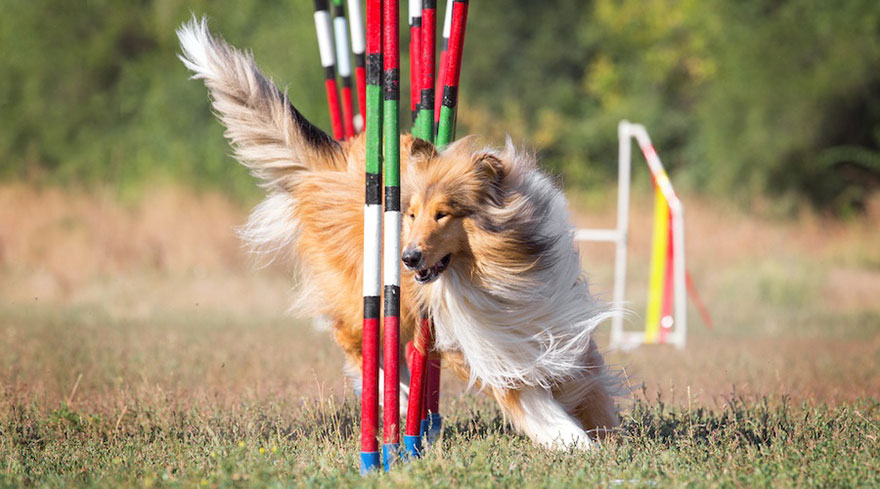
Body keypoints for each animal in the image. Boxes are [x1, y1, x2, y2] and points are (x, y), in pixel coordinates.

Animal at [177, 18, 620, 446]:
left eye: (442, 214)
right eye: (410, 214)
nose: (408, 258)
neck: (496, 274)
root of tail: (333, 165)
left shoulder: (552, 317)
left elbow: (585, 382)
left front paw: (607, 430)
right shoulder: (489, 344)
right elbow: (532, 402)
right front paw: (576, 443)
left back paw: (404, 402)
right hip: (366, 293)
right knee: (356, 341)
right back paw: (397, 404)